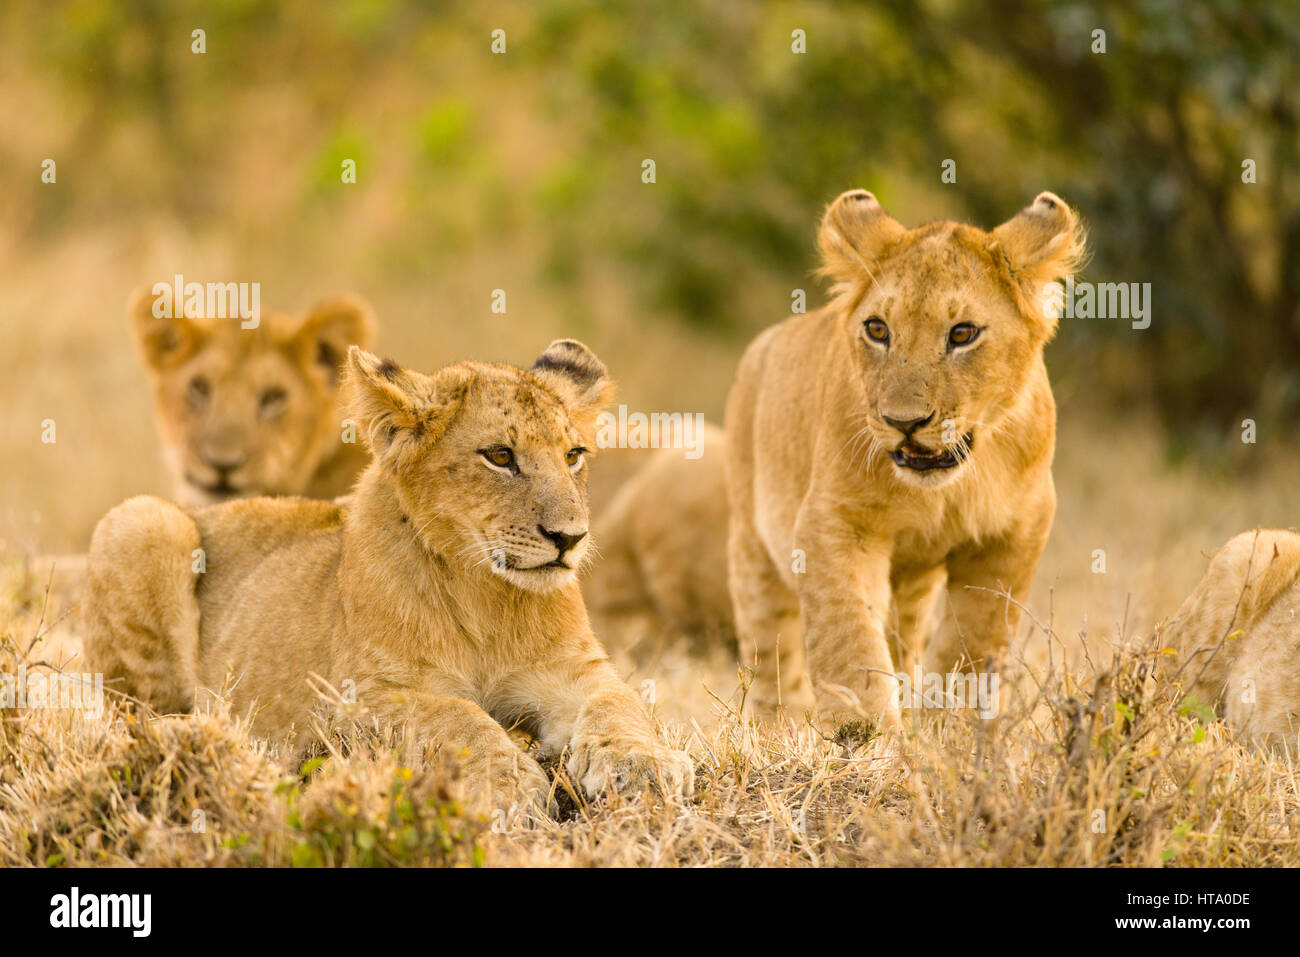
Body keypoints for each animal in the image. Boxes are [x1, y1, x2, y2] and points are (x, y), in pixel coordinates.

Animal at [82, 340, 693, 812]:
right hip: (142, 520)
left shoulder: (576, 669)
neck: (487, 594)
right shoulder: (359, 697)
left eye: (573, 455)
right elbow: (458, 717)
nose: (570, 538)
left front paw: (646, 766)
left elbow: (621, 704)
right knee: (136, 719)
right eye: (500, 456)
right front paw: (509, 784)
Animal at [725, 189, 1085, 736]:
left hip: (912, 585)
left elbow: (974, 643)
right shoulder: (834, 520)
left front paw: (951, 734)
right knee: (771, 658)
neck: (945, 487)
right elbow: (848, 634)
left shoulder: (1013, 532)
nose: (904, 421)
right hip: (753, 551)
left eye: (963, 333)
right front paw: (865, 734)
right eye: (878, 329)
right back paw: (774, 730)